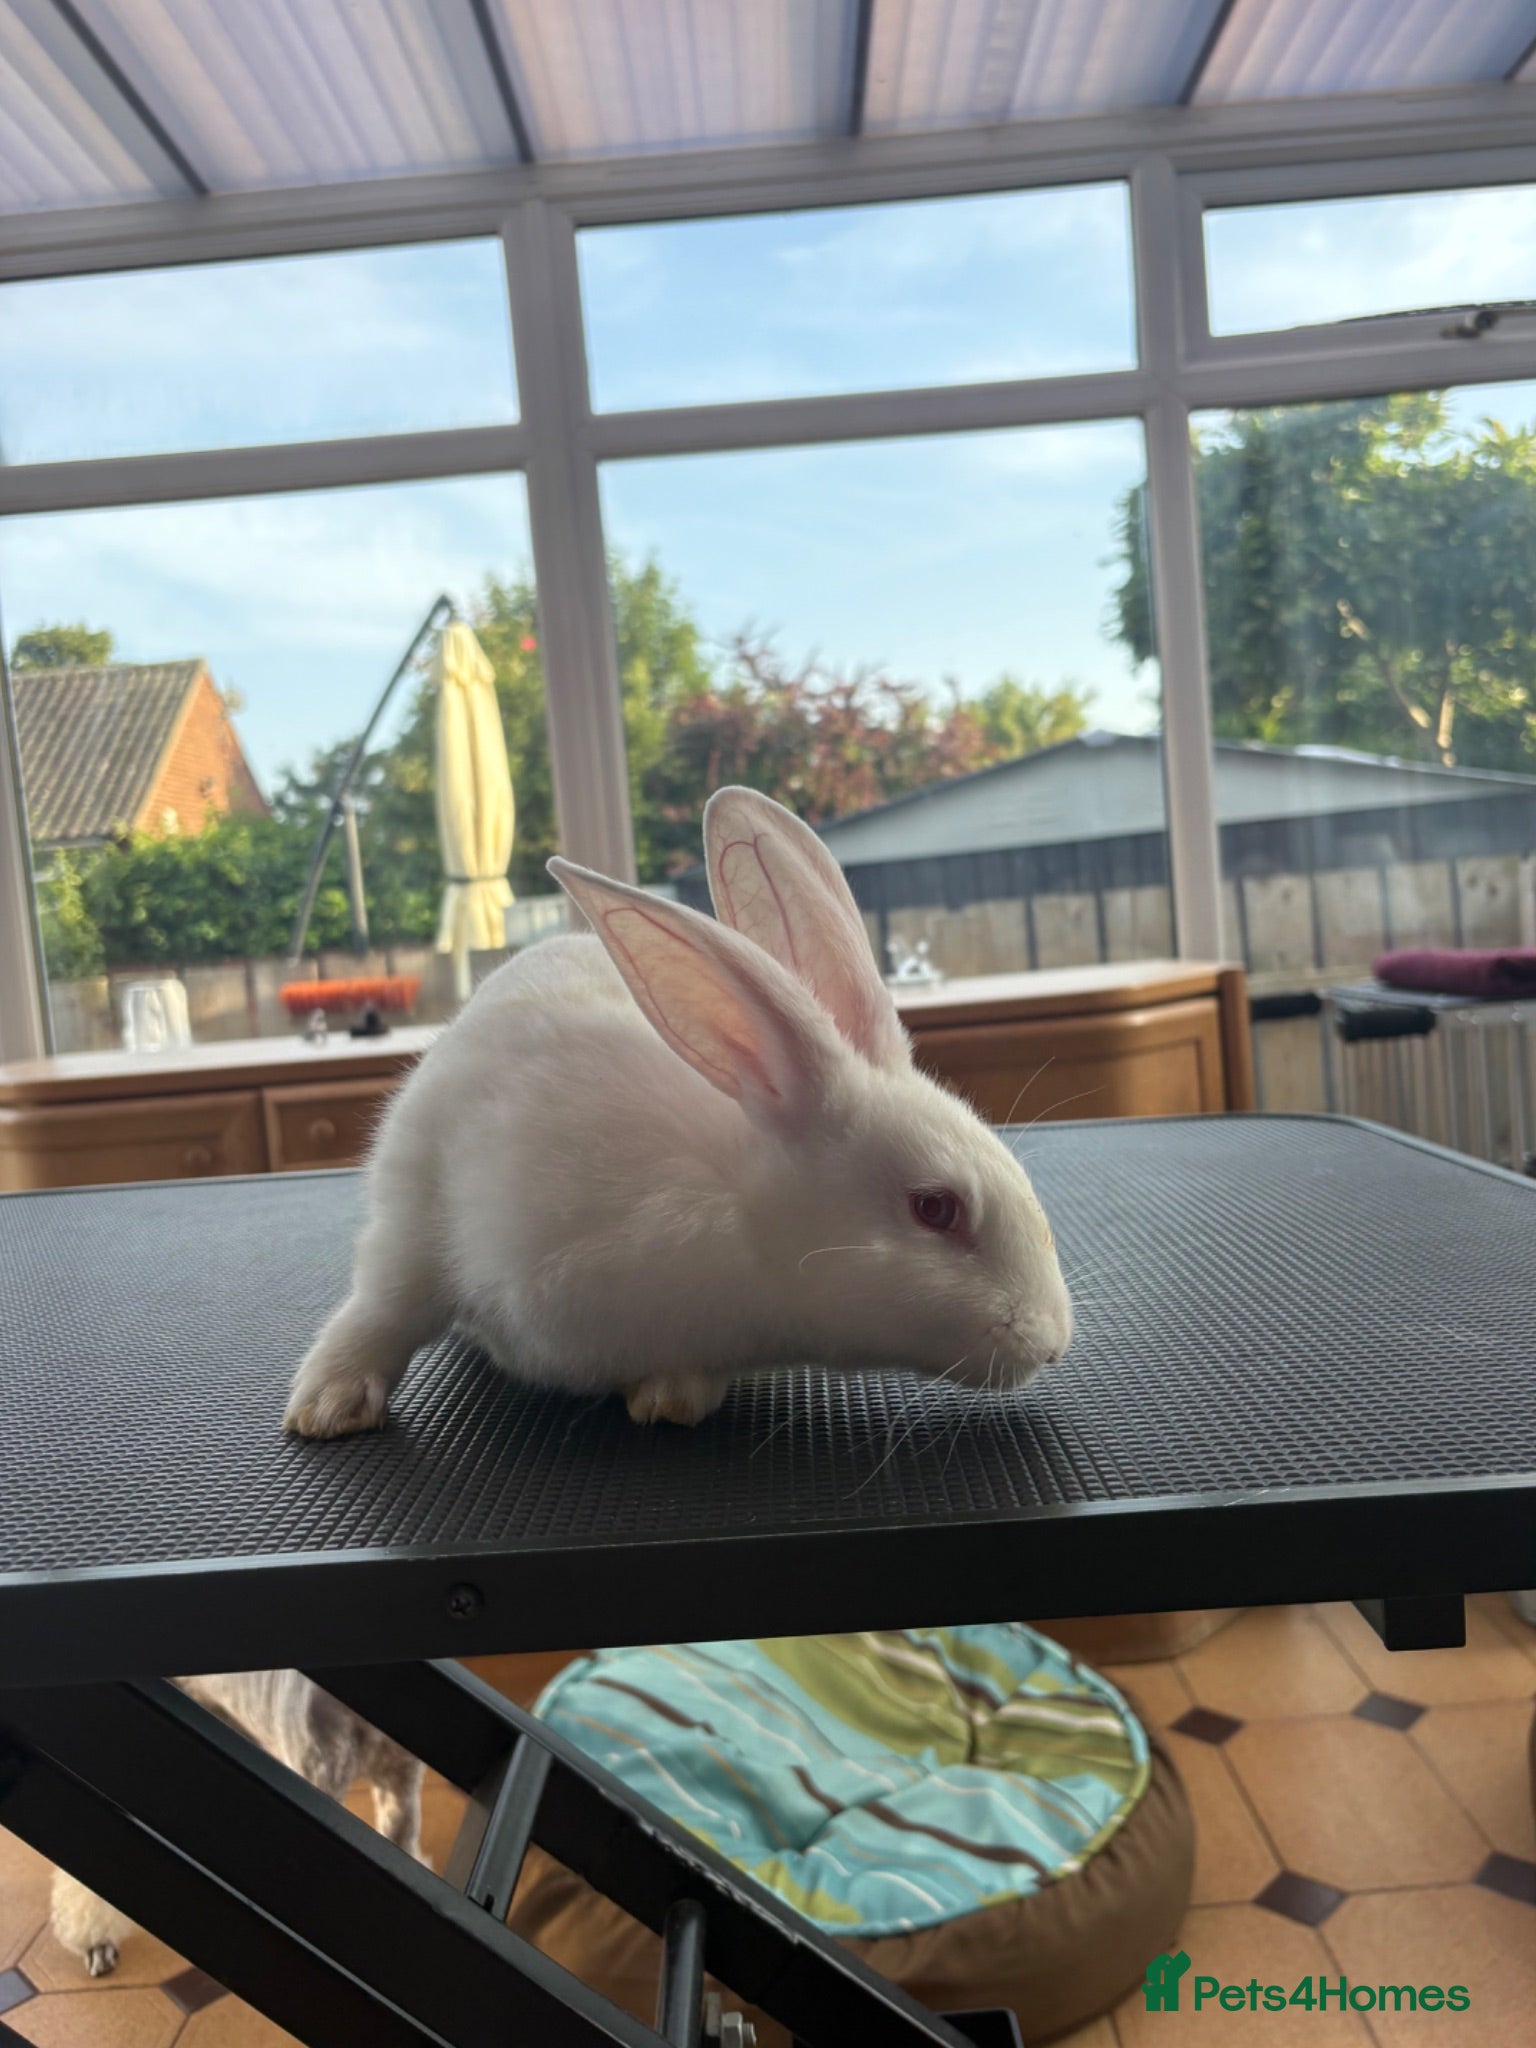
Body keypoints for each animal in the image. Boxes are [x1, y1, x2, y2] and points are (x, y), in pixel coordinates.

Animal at [283, 785, 1072, 1438]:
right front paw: (328, 1407)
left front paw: (670, 1400)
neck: (739, 1217)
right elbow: (384, 1312)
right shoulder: (425, 1208)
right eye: (936, 1208)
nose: (1052, 1342)